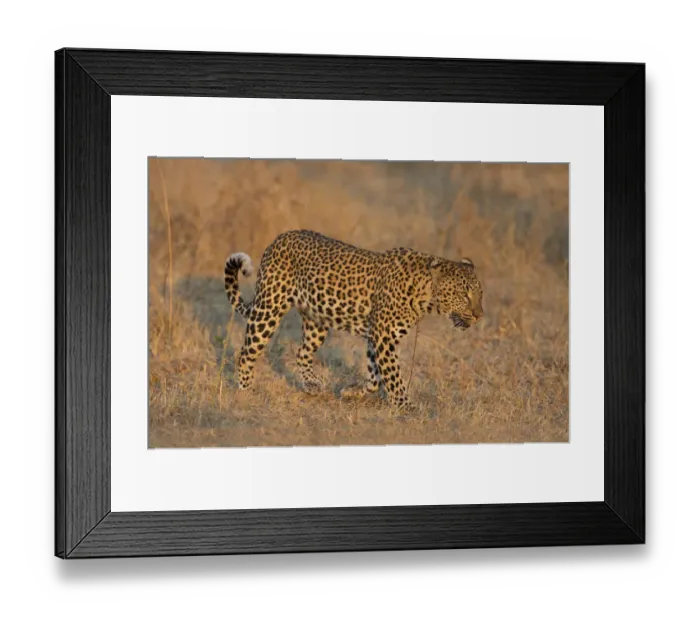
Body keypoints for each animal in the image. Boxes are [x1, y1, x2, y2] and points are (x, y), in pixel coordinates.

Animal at [224, 229, 484, 409]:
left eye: (480, 294)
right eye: (464, 295)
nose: (479, 315)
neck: (425, 296)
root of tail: (278, 239)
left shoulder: (377, 337)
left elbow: (375, 375)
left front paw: (352, 392)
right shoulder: (383, 336)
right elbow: (393, 375)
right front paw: (406, 406)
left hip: (317, 320)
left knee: (302, 352)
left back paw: (312, 385)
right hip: (268, 309)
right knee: (246, 352)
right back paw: (245, 390)